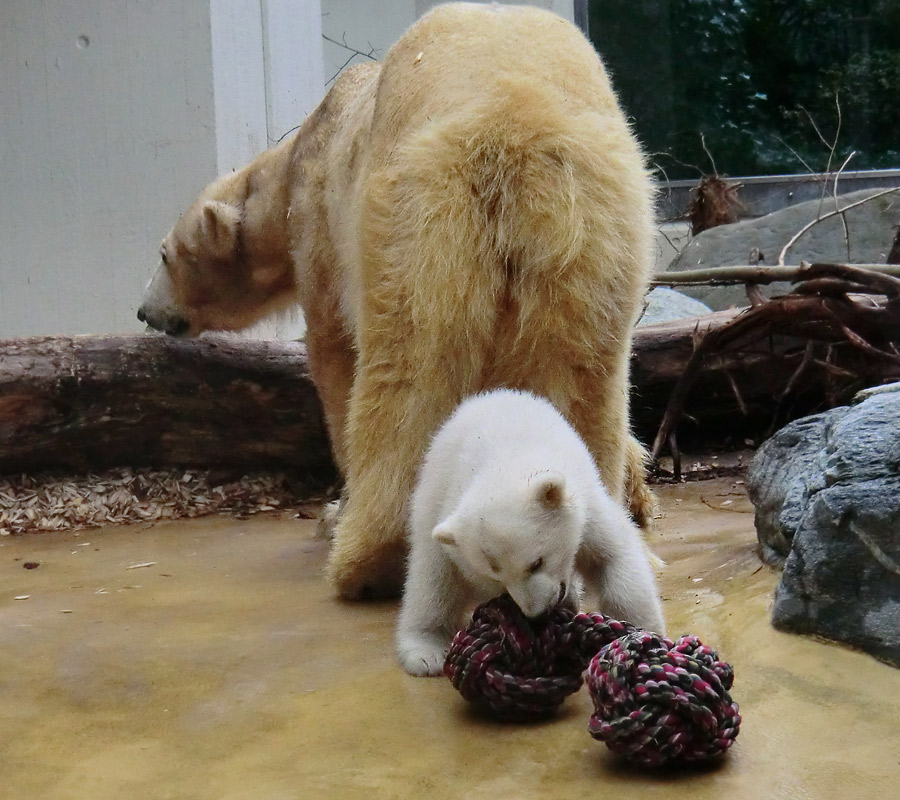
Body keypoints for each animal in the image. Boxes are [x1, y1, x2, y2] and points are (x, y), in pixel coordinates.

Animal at [139, 3, 652, 596]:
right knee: (583, 370)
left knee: (408, 370)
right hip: (591, 233)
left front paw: (333, 511)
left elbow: (334, 353)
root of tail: (516, 131)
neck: (294, 161)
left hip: (418, 211)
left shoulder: (323, 230)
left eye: (164, 255)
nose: (144, 311)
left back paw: (369, 557)